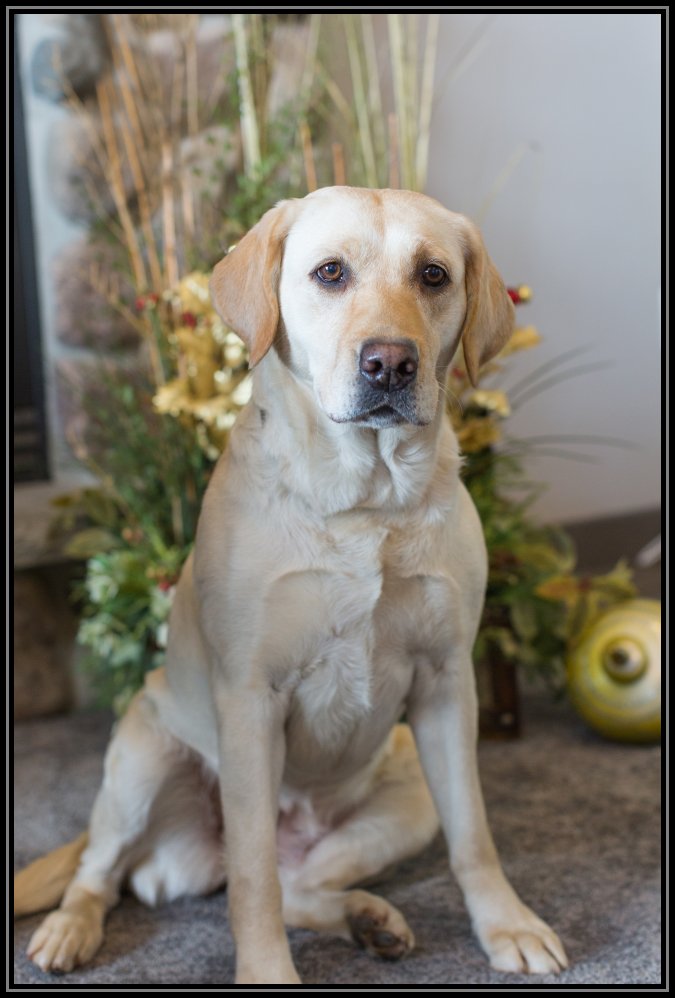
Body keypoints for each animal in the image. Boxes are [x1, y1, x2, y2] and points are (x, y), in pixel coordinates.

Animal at [13, 186, 568, 984]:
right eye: (329, 273)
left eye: (433, 276)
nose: (390, 363)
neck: (365, 502)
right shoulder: (251, 699)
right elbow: (252, 880)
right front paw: (267, 970)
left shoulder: (446, 686)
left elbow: (474, 835)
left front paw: (506, 925)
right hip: (142, 755)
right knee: (102, 868)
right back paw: (69, 929)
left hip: (404, 796)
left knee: (303, 883)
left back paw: (368, 919)